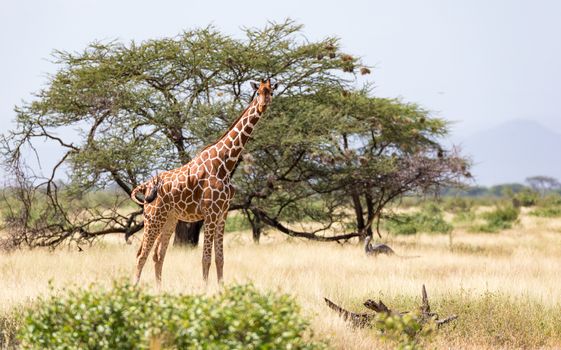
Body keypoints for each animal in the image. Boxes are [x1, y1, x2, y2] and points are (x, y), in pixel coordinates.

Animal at [132, 78, 280, 284]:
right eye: (257, 92)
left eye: (270, 92)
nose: (262, 105)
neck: (225, 164)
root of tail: (145, 186)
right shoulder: (211, 213)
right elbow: (206, 259)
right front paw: (205, 288)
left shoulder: (222, 214)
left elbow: (220, 258)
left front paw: (221, 288)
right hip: (153, 217)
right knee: (141, 255)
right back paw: (134, 288)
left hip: (169, 219)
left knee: (158, 255)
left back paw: (159, 288)